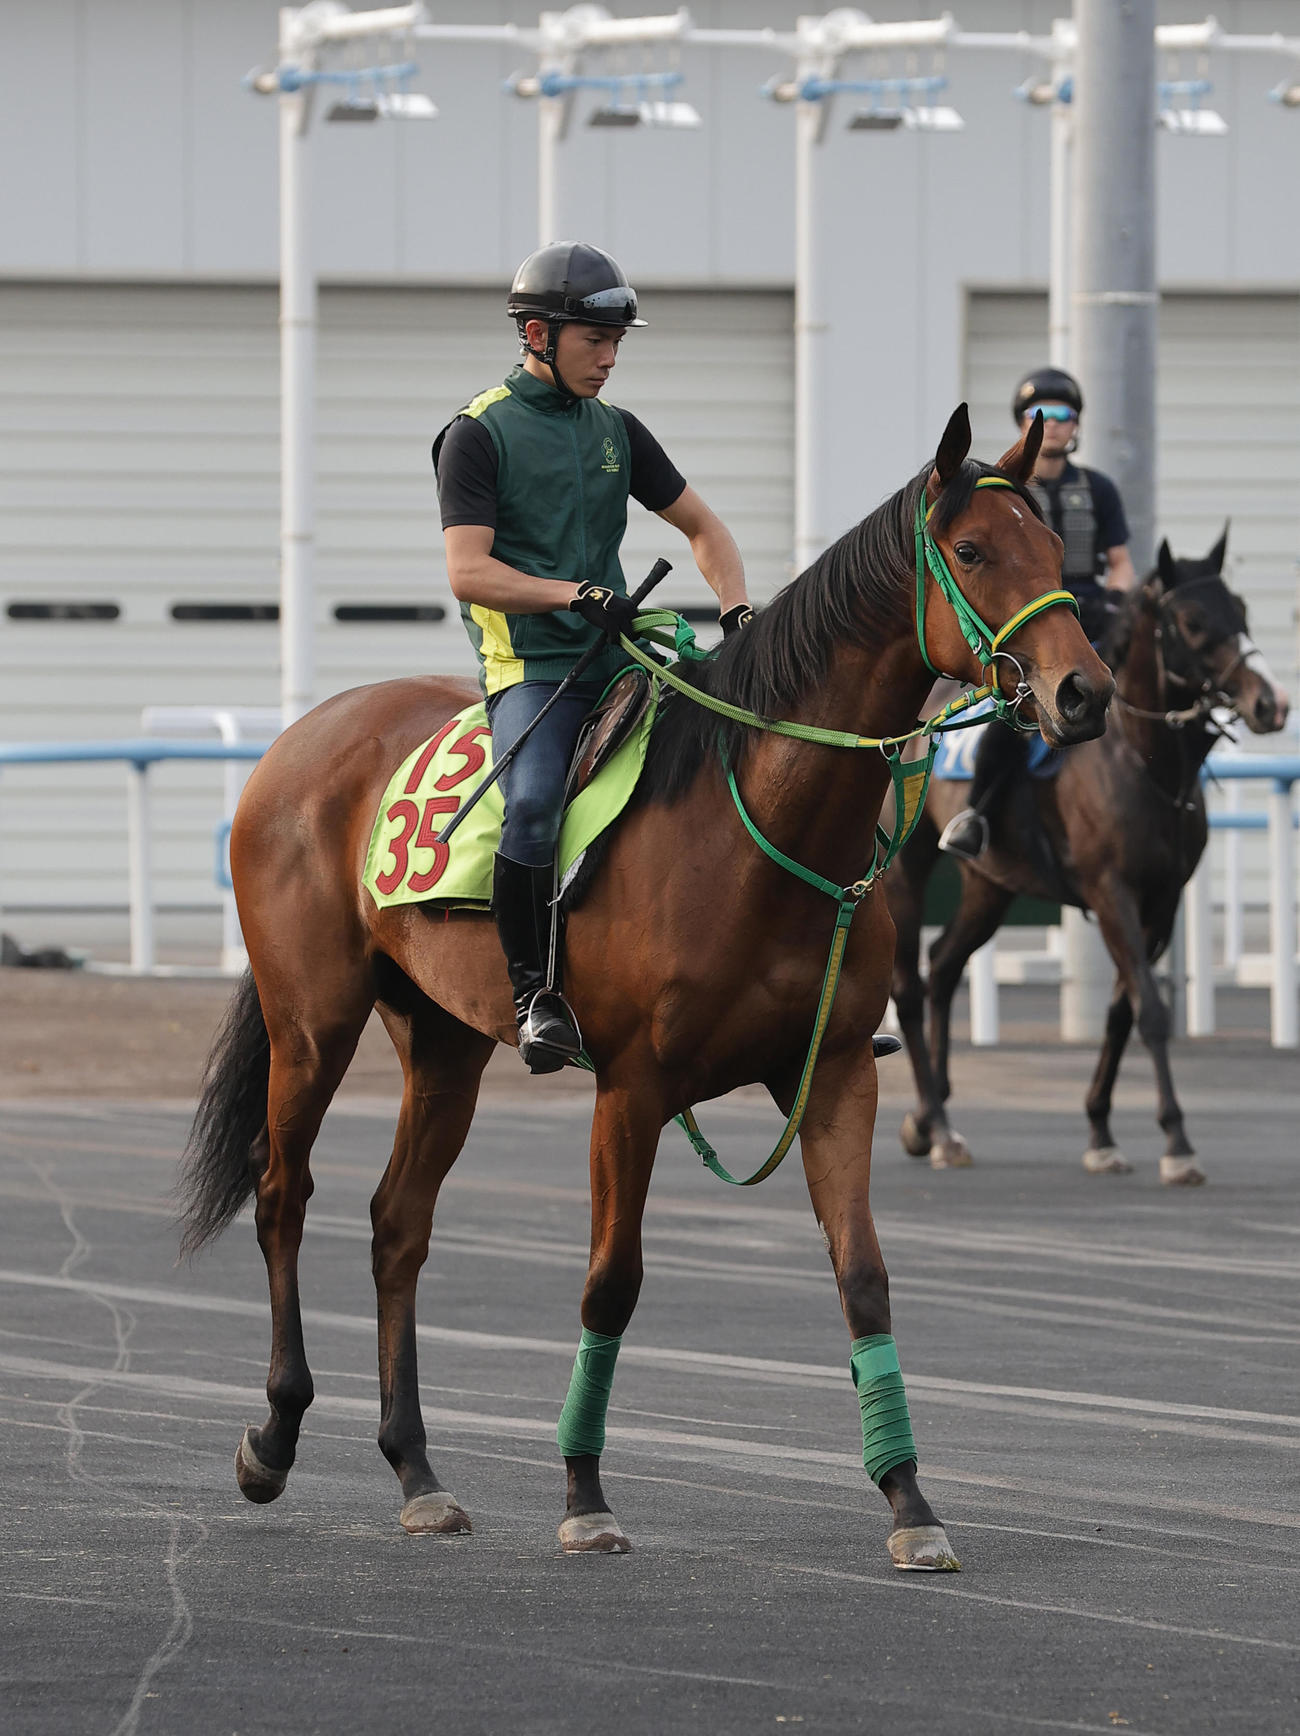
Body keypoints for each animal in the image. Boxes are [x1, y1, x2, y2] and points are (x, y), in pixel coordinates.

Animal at [176, 404, 1112, 1571]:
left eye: (1058, 548)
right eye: (976, 551)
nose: (1084, 691)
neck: (754, 824)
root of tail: (300, 740)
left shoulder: (834, 1076)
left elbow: (863, 1278)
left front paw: (909, 1501)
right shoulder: (630, 1088)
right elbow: (611, 1281)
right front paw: (584, 1491)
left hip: (442, 1041)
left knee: (398, 1223)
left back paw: (418, 1472)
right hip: (314, 1021)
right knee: (282, 1195)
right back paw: (273, 1434)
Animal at [886, 528, 1290, 1185]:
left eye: (1242, 609)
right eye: (1192, 621)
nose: (1271, 704)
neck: (1141, 760)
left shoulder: (1162, 902)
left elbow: (1124, 1009)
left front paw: (1101, 1129)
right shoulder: (1111, 893)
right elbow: (1150, 1010)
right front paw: (1177, 1141)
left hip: (991, 883)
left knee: (943, 966)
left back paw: (930, 1115)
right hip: (905, 872)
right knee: (910, 987)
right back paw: (939, 1128)